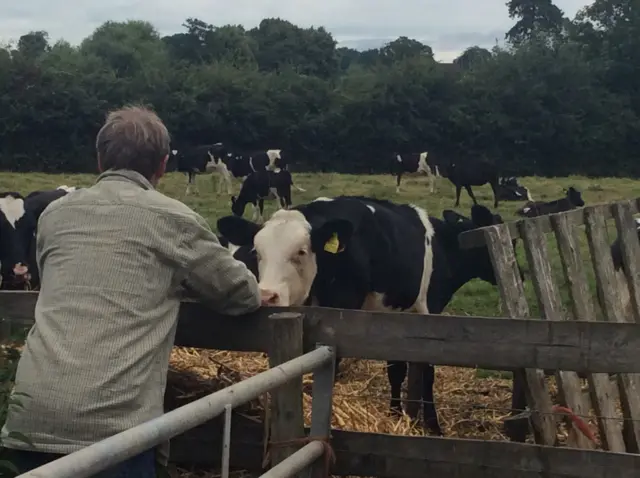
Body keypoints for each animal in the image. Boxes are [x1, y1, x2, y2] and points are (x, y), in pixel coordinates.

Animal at [218, 196, 516, 436]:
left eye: (301, 251)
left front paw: (396, 415)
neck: (443, 245)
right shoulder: (431, 312)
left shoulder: (394, 318)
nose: (267, 296)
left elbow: (396, 370)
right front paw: (432, 426)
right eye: (258, 252)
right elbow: (426, 371)